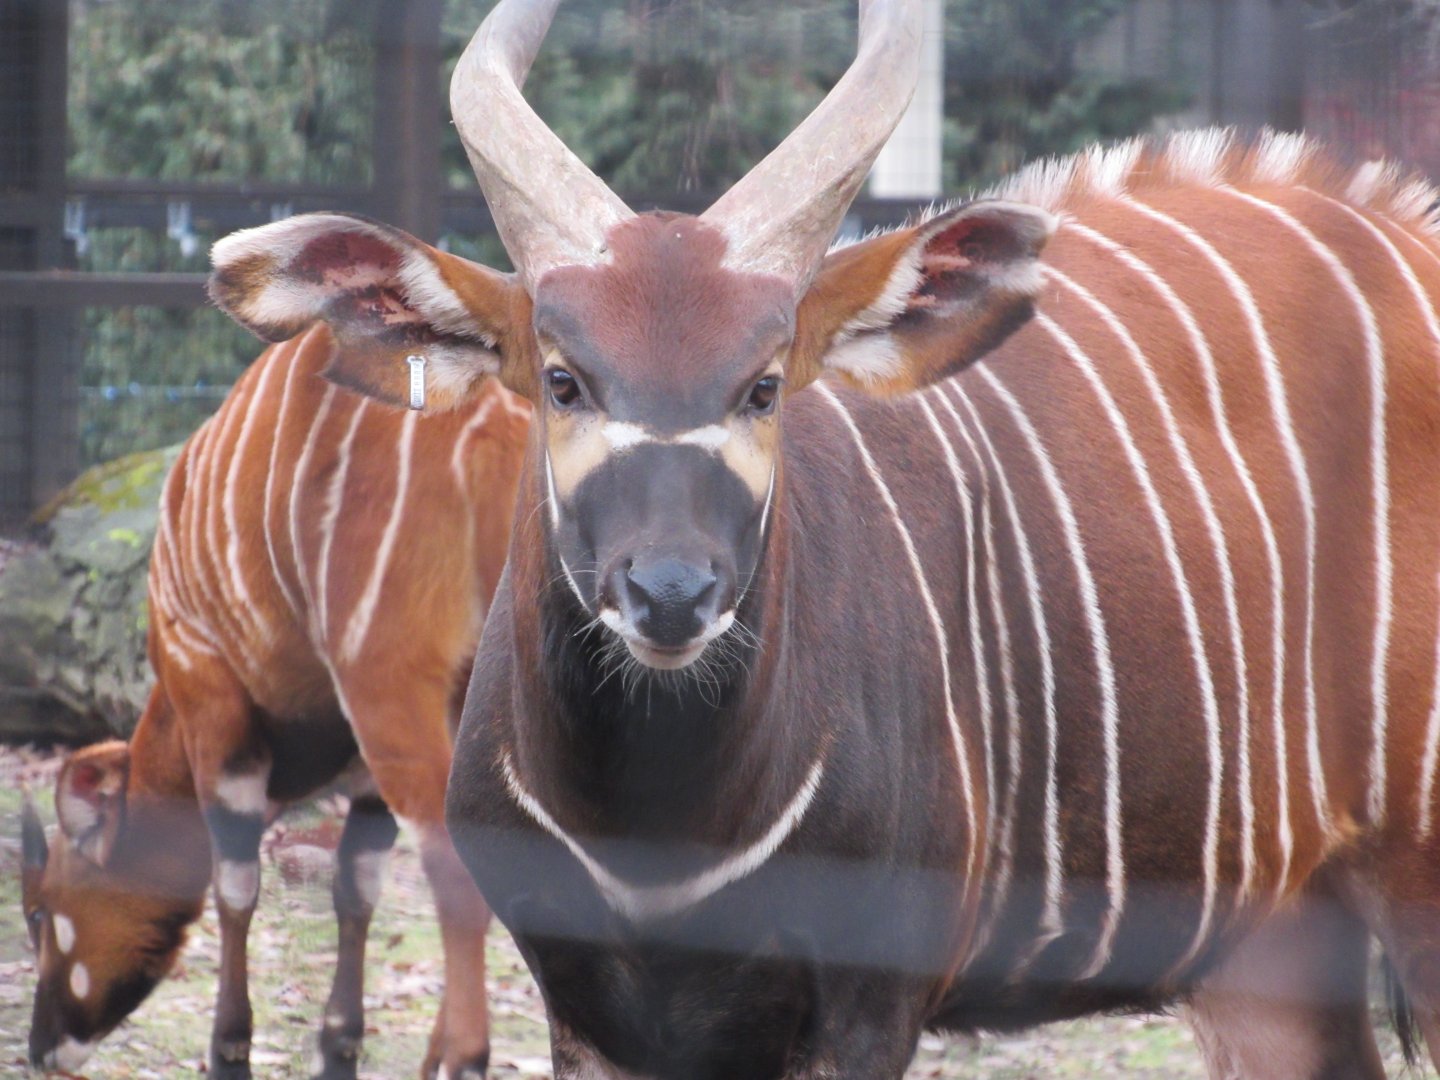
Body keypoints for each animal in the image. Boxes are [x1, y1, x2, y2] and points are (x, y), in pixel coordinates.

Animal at [21, 310, 530, 1079]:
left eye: (41, 910)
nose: (40, 1046)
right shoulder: (361, 776)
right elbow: (356, 888)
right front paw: (340, 1045)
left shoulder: (214, 703)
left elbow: (236, 886)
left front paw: (230, 1048)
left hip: (393, 692)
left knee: (458, 869)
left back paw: (466, 1058)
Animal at [199, 0, 1440, 1075]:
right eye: (560, 378)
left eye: (763, 383)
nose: (670, 593)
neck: (660, 835)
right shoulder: (588, 1011)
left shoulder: (865, 1007)